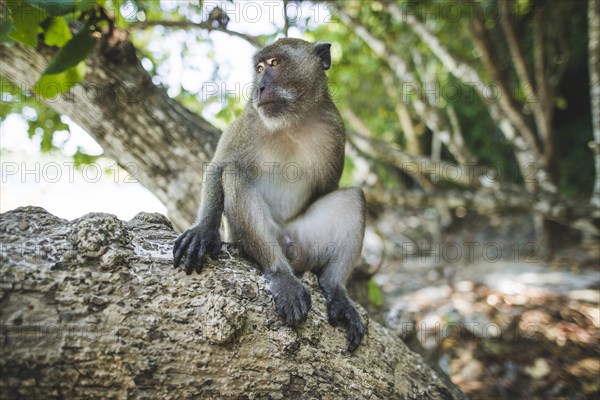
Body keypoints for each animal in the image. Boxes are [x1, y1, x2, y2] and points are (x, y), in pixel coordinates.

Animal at [175, 37, 366, 350]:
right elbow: (219, 167)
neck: (292, 123)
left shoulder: (335, 129)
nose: (260, 87)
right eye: (260, 68)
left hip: (304, 240)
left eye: (275, 64)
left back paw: (335, 287)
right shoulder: (249, 121)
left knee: (354, 199)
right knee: (235, 174)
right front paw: (203, 230)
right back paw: (281, 274)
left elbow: (329, 189)